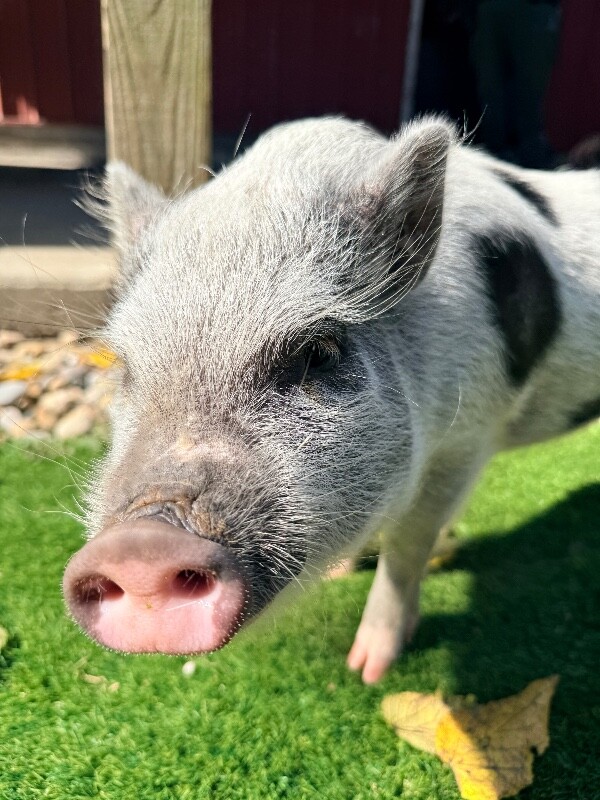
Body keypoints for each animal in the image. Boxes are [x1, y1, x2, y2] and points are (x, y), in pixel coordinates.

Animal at [63, 116, 600, 683]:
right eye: (123, 367)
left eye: (318, 352)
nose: (141, 543)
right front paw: (344, 572)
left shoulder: (469, 435)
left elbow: (409, 546)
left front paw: (367, 671)